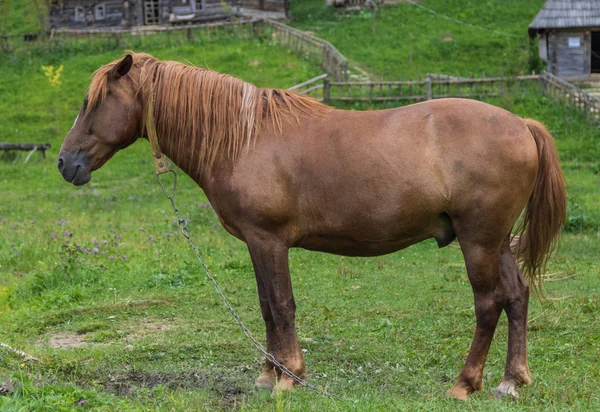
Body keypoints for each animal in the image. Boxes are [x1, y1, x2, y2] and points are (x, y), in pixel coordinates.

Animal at [58, 53, 564, 400]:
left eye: (94, 102)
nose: (66, 163)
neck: (244, 138)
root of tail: (521, 124)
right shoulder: (255, 244)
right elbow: (265, 306)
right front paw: (268, 375)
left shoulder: (269, 241)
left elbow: (282, 305)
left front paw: (290, 377)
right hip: (496, 242)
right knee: (516, 295)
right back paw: (511, 380)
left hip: (478, 241)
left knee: (489, 303)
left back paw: (464, 383)